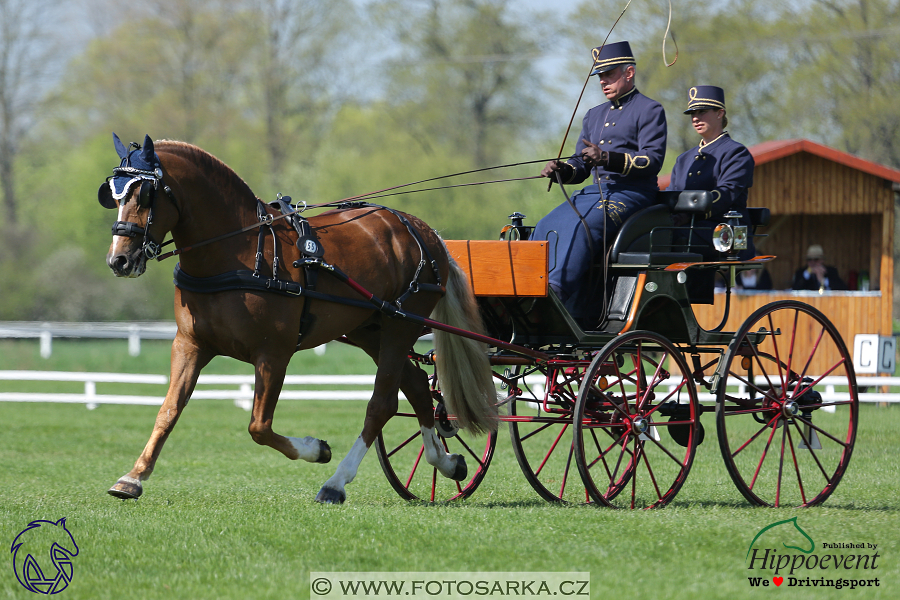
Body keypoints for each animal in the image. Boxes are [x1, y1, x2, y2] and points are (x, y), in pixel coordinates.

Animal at [98, 134, 500, 504]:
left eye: (144, 195)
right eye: (112, 195)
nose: (119, 260)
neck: (239, 251)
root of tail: (425, 232)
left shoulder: (273, 354)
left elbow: (258, 426)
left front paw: (316, 449)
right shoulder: (190, 344)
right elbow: (168, 410)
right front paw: (133, 477)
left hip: (402, 324)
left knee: (382, 403)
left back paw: (337, 482)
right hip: (372, 328)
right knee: (415, 387)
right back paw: (445, 462)